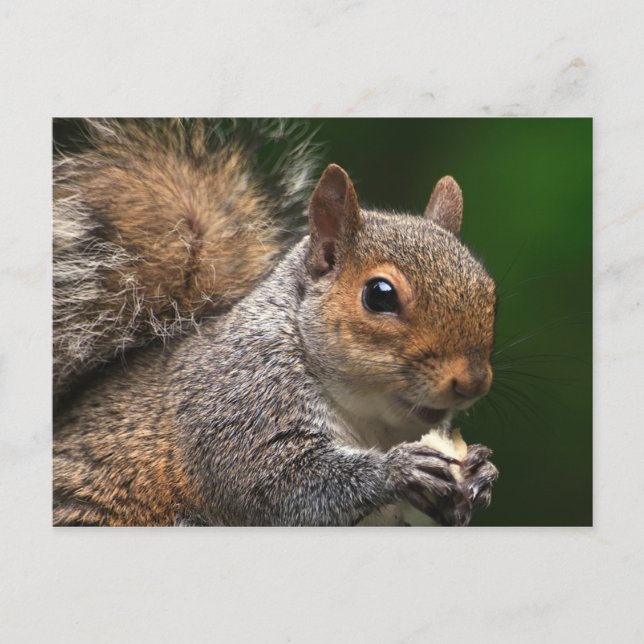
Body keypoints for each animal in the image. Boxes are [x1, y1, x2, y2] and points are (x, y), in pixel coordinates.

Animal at [53, 118, 499, 527]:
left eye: (489, 288)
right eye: (379, 295)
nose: (473, 382)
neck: (370, 419)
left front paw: (480, 474)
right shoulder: (237, 404)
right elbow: (278, 484)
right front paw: (397, 468)